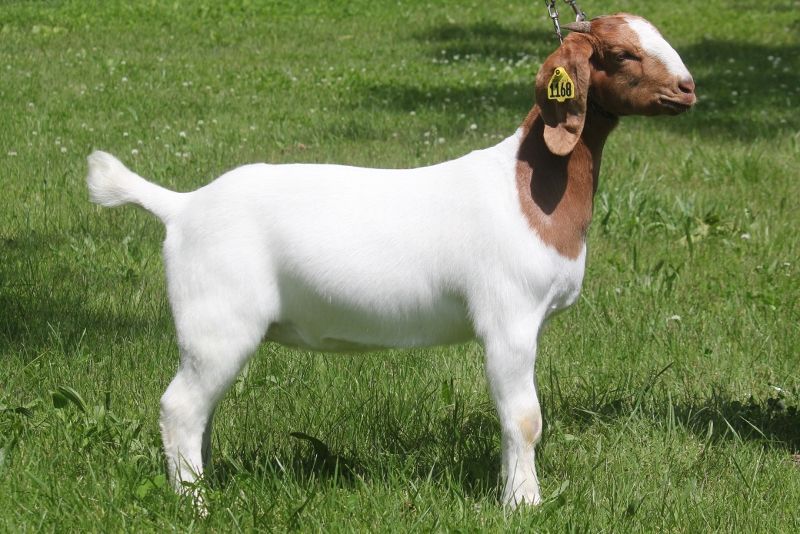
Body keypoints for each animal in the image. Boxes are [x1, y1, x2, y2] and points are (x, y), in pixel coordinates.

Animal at [86, 13, 695, 508]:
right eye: (622, 53)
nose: (687, 89)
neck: (529, 188)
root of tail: (181, 206)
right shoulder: (509, 318)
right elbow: (524, 418)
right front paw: (523, 504)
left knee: (199, 413)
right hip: (216, 321)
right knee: (180, 408)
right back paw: (195, 505)